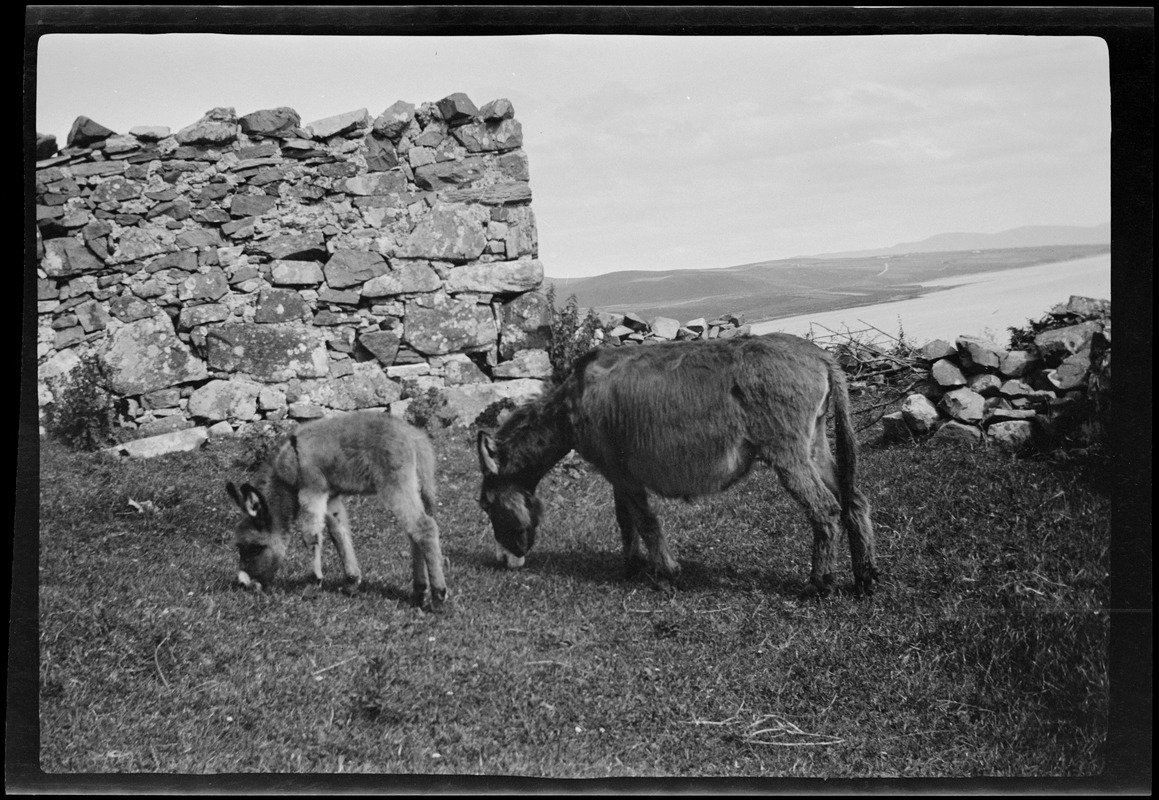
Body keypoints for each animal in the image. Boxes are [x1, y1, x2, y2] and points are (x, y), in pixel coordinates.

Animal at [226, 410, 447, 612]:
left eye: (255, 548)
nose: (243, 584)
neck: (289, 464)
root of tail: (414, 435)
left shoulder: (311, 490)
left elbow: (311, 536)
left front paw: (313, 584)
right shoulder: (330, 496)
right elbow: (338, 533)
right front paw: (351, 582)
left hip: (396, 484)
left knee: (424, 527)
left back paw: (438, 596)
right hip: (412, 486)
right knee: (413, 532)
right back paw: (419, 592)